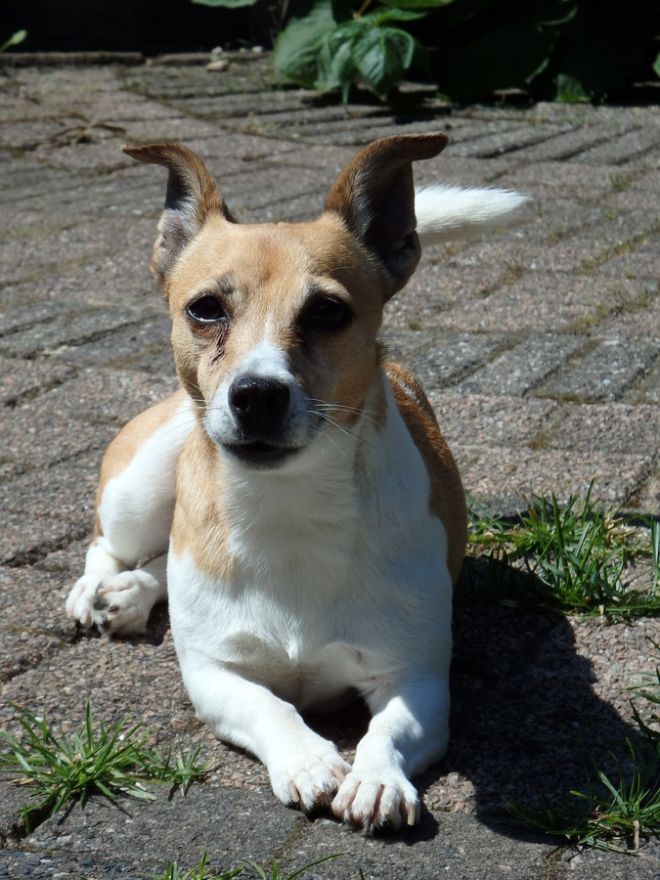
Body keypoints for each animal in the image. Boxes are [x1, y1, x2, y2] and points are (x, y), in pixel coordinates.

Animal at [64, 136, 524, 832]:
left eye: (328, 311)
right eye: (205, 308)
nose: (257, 393)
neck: (289, 507)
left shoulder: (416, 679)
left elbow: (388, 728)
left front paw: (376, 778)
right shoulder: (214, 676)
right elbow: (272, 706)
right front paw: (308, 760)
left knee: (160, 562)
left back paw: (133, 595)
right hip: (142, 482)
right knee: (111, 545)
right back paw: (95, 591)